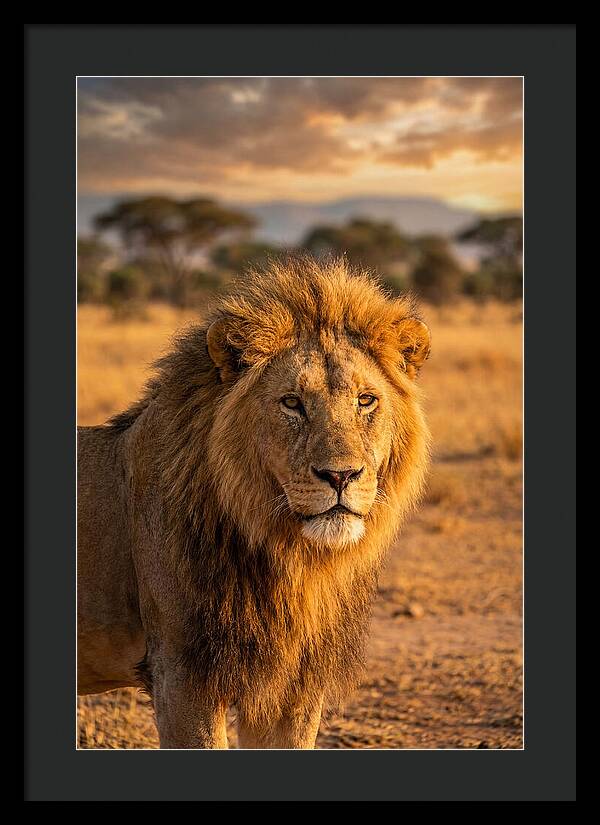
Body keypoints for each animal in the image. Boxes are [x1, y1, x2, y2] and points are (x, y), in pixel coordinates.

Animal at [77, 256, 431, 749]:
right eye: (292, 403)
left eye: (366, 400)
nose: (340, 476)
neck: (291, 559)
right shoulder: (182, 675)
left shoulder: (293, 685)